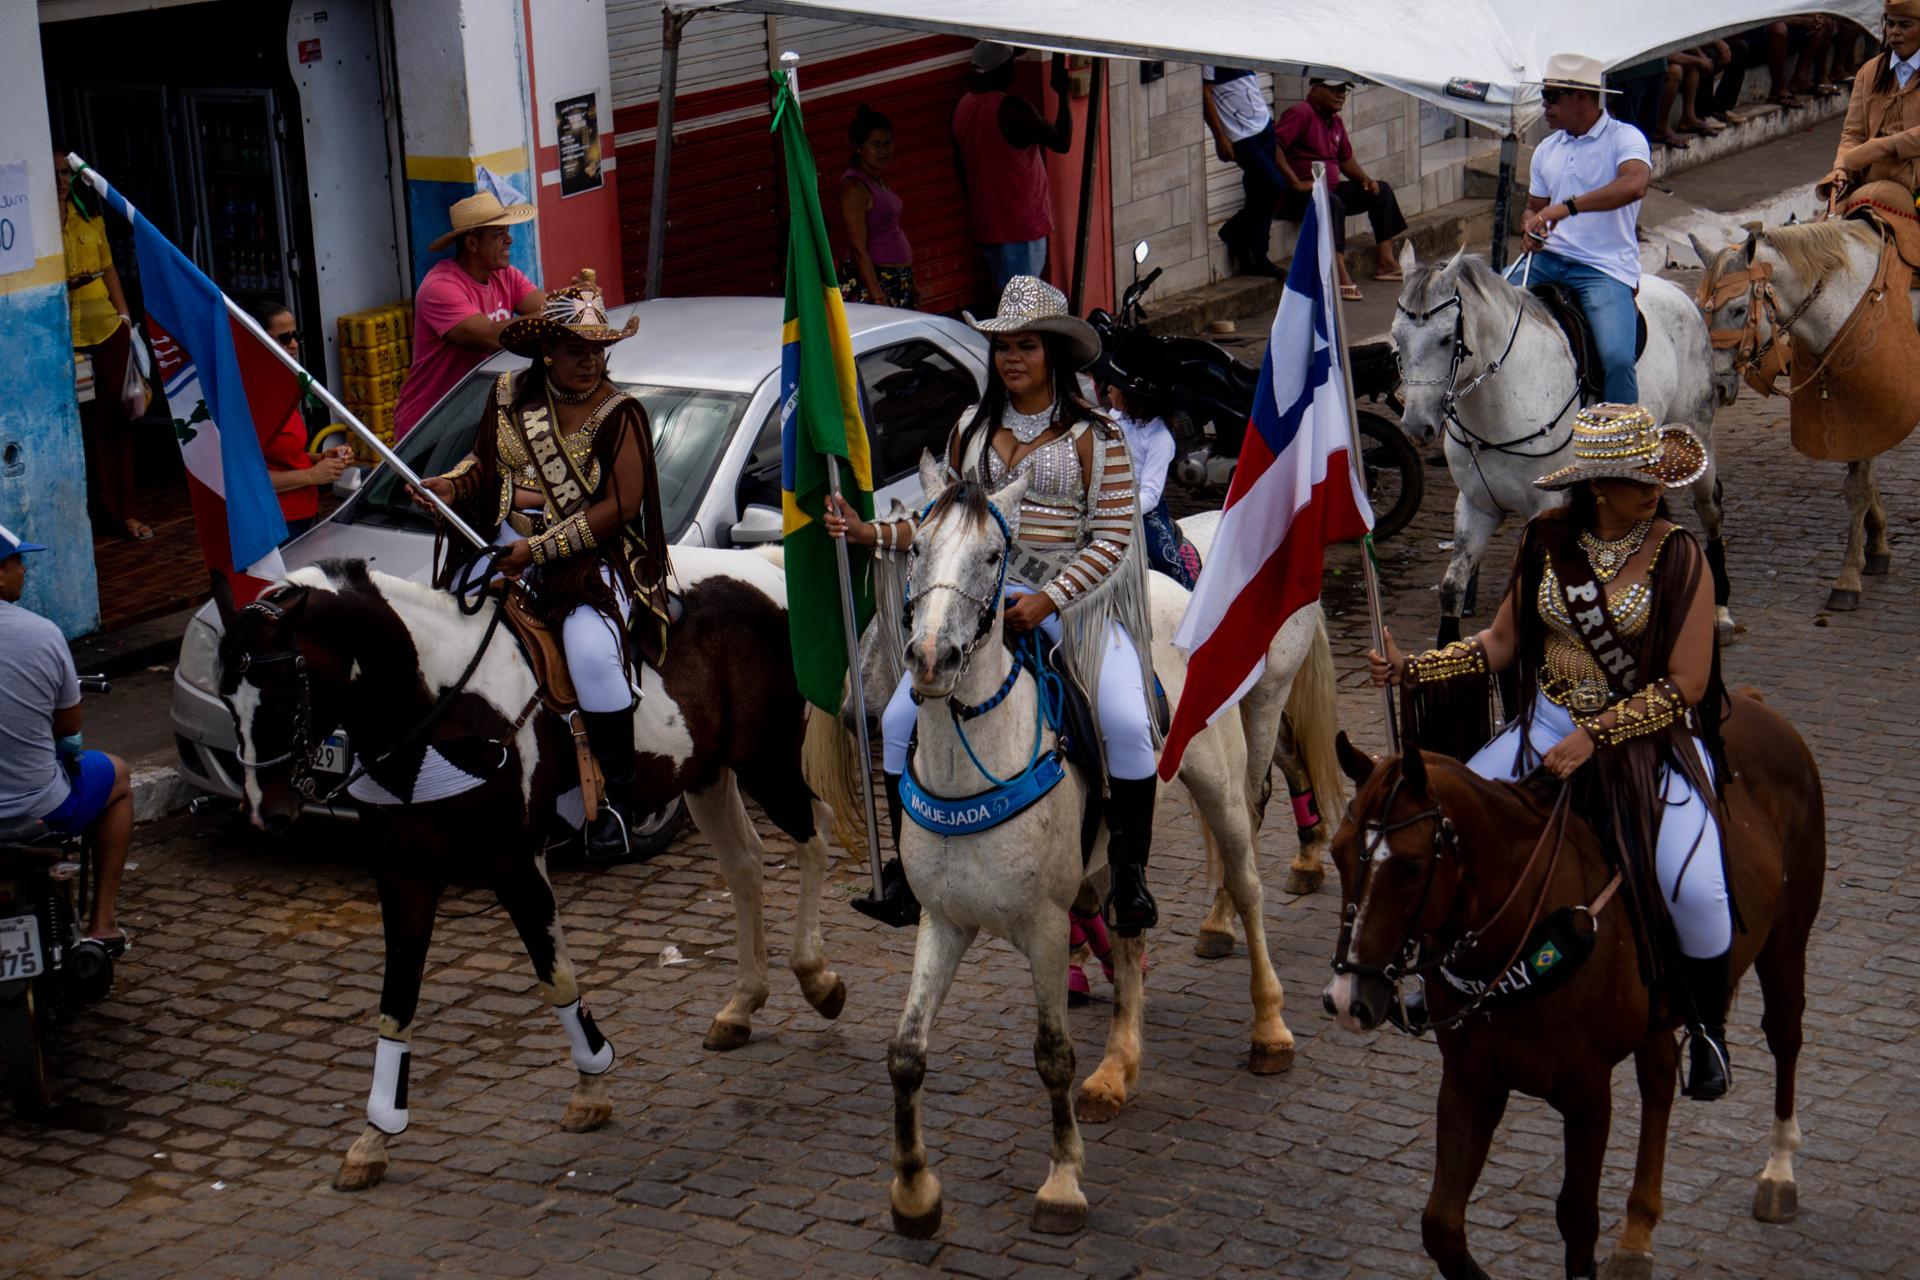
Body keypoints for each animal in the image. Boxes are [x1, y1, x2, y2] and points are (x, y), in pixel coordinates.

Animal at [215, 551, 850, 1192]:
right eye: (226, 698)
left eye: (278, 695)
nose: (266, 812)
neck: (438, 708)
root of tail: (760, 565)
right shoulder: (404, 876)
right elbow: (397, 1001)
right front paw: (374, 1138)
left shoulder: (515, 864)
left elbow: (556, 976)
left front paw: (591, 1086)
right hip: (707, 773)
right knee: (745, 865)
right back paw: (742, 1004)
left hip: (766, 760)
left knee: (815, 834)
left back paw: (816, 976)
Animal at [845, 456, 1344, 1237]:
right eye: (917, 548)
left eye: (993, 555)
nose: (930, 659)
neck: (976, 761)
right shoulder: (943, 920)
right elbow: (906, 1052)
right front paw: (914, 1194)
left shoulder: (1045, 926)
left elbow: (1052, 1054)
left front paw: (1061, 1184)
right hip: (1117, 855)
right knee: (1130, 927)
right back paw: (1115, 1072)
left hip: (1226, 776)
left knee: (1247, 881)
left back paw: (1268, 1028)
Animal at [1321, 691, 1825, 1280]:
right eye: (1336, 851)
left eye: (1410, 867)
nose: (1347, 1001)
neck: (1517, 930)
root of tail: (1756, 705)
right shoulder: (1471, 1079)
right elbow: (1441, 1226)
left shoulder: (1586, 1092)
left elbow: (1577, 1219)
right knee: (1658, 1081)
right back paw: (1637, 1234)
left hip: (1785, 943)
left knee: (1784, 1036)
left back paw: (1778, 1172)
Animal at [1390, 243, 1734, 645]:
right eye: (1397, 338)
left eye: (1447, 339)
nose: (1416, 425)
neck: (1501, 402)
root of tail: (1677, 292)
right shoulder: (1477, 505)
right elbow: (1451, 587)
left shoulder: (1547, 505)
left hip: (1699, 436)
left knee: (1710, 509)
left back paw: (1720, 608)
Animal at [1690, 219, 1918, 611]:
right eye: (1700, 309)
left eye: (1737, 310)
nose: (1716, 386)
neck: (1848, 294)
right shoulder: (1852, 410)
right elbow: (1862, 481)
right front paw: (1875, 546)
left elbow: (1858, 489)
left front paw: (1847, 578)